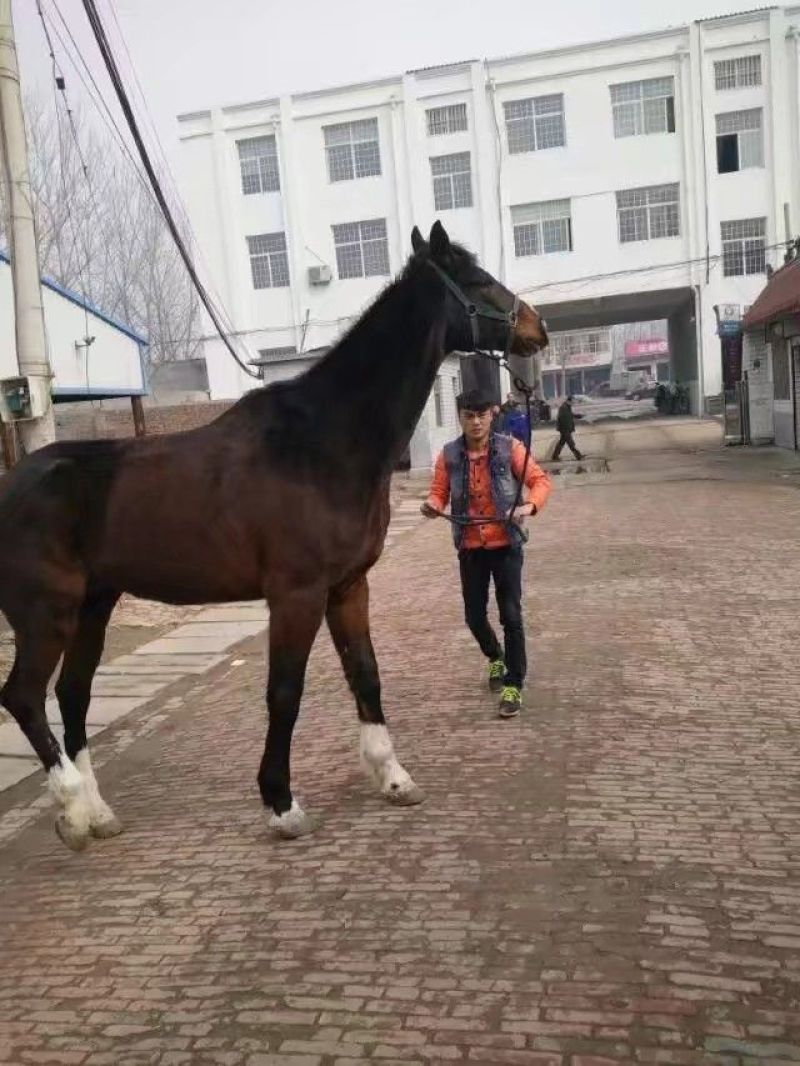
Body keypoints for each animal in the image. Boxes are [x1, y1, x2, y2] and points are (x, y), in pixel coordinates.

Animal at [0, 220, 547, 852]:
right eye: (477, 279)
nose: (537, 328)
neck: (323, 442)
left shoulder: (348, 587)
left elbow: (366, 674)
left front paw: (392, 776)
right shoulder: (296, 594)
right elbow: (285, 692)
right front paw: (281, 803)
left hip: (94, 604)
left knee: (73, 694)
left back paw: (96, 812)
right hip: (47, 614)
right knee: (24, 697)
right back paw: (71, 809)